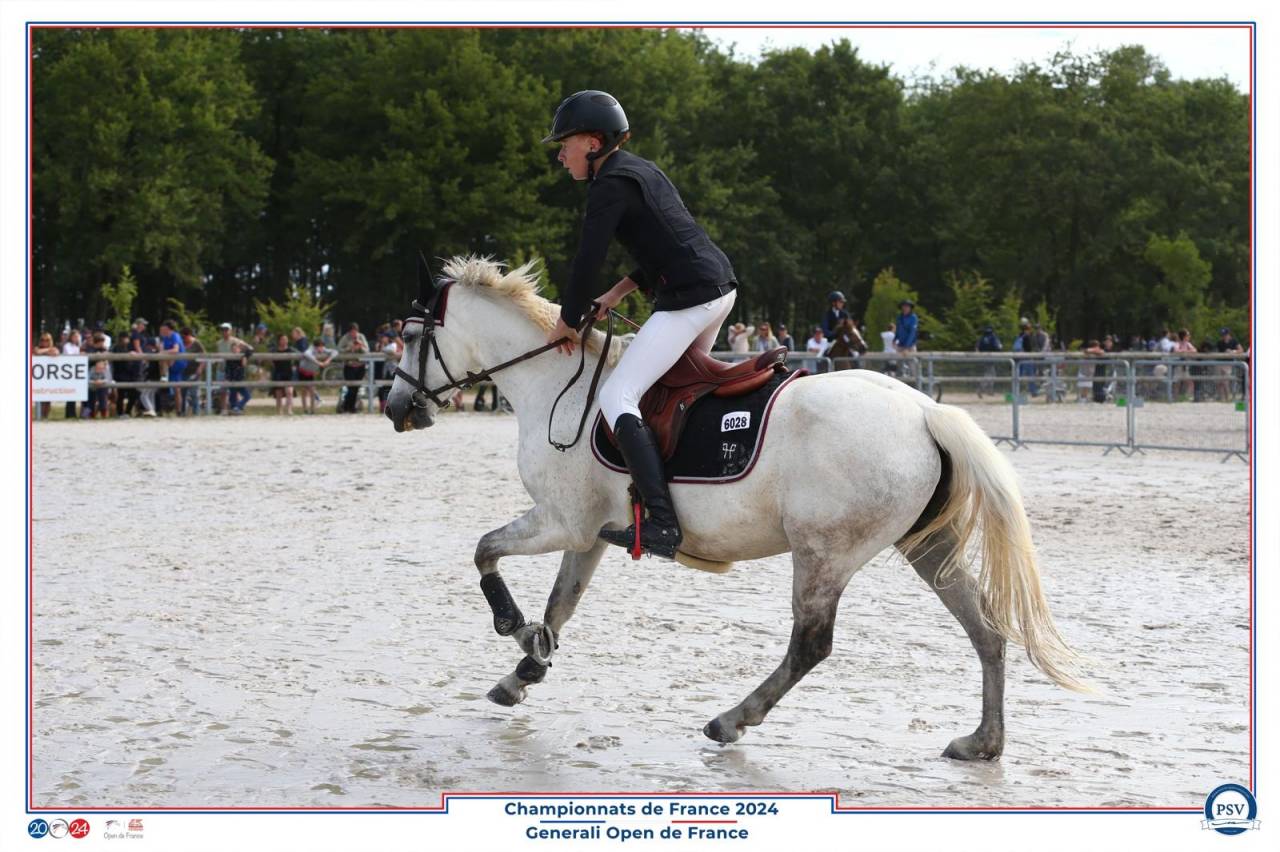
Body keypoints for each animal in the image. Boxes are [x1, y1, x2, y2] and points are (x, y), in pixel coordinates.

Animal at [385, 256, 1084, 760]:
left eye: (412, 335)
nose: (396, 409)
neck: (555, 385)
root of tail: (922, 409)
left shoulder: (561, 521)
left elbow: (485, 551)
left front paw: (516, 628)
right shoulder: (587, 534)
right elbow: (563, 603)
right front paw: (526, 666)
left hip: (823, 553)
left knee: (811, 646)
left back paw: (729, 721)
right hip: (926, 547)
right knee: (985, 629)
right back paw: (983, 743)